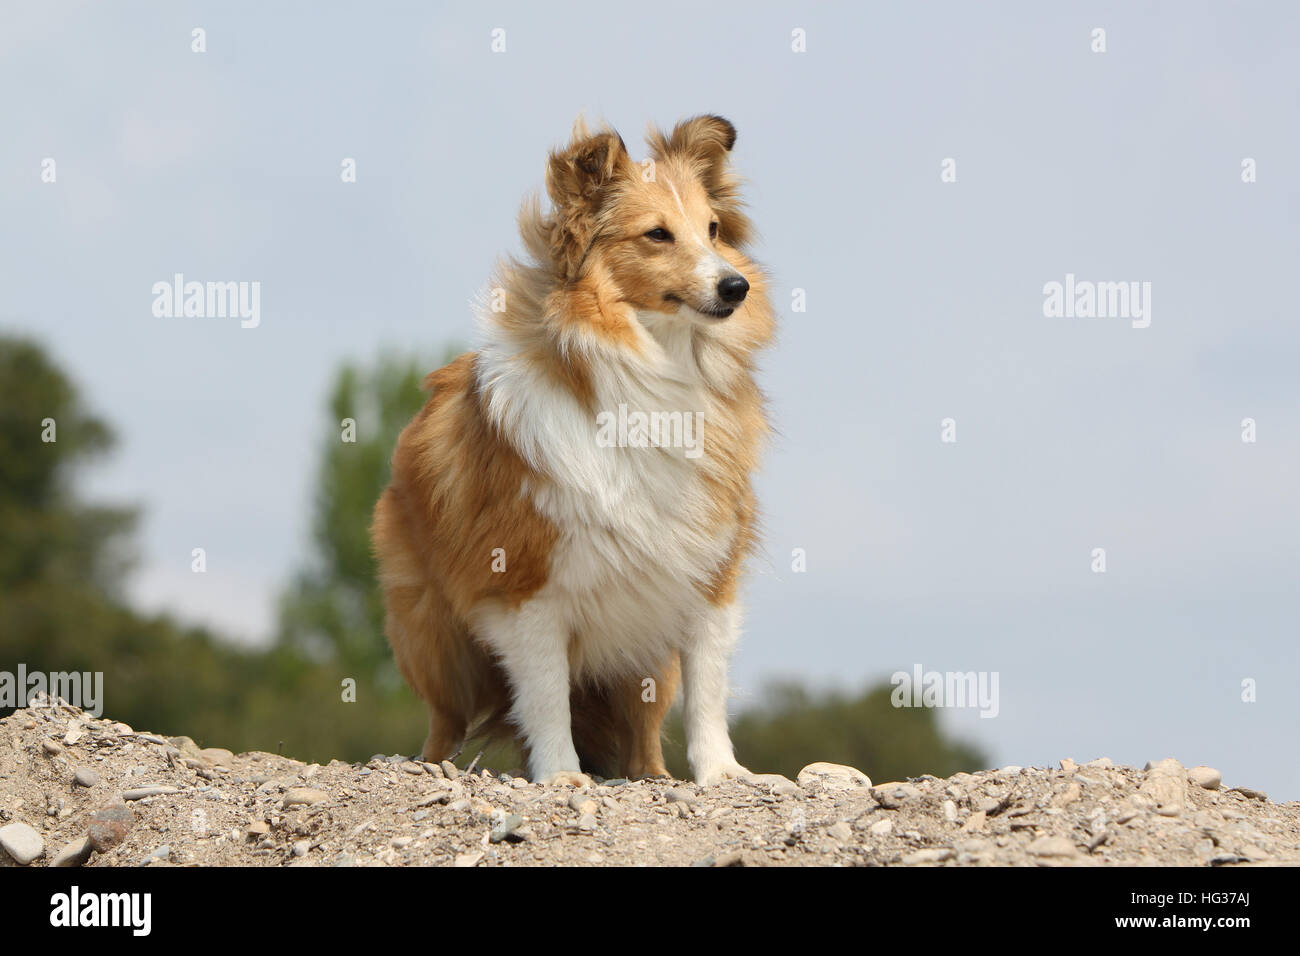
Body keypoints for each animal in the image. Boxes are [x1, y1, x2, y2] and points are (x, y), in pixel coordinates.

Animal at [366, 115, 769, 785]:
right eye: (657, 234)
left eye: (713, 229)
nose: (735, 287)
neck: (653, 369)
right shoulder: (527, 588)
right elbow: (547, 693)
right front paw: (560, 776)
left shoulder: (708, 575)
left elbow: (708, 687)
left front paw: (724, 774)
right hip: (435, 639)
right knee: (445, 719)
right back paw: (428, 766)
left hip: (642, 657)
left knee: (644, 730)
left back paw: (655, 777)